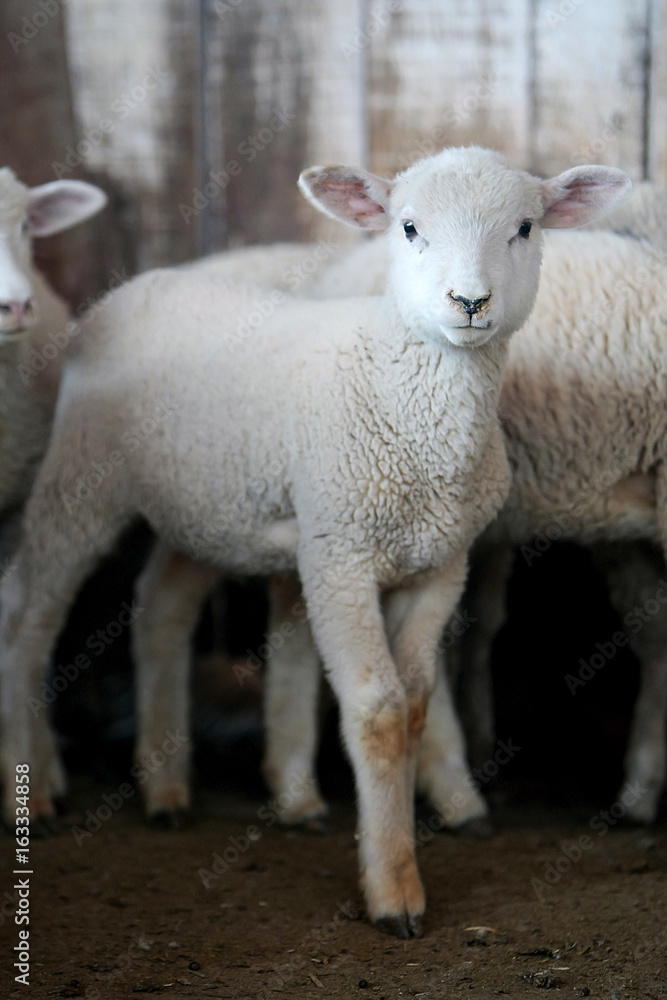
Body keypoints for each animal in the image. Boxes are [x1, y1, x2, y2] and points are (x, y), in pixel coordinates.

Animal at [0, 150, 628, 936]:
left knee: (159, 610)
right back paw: (33, 793)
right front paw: (393, 891)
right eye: (407, 227)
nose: (470, 301)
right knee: (28, 617)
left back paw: (166, 790)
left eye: (525, 227)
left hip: (204, 505)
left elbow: (415, 705)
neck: (397, 390)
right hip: (81, 478)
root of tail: (140, 284)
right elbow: (381, 713)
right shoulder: (340, 555)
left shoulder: (438, 564)